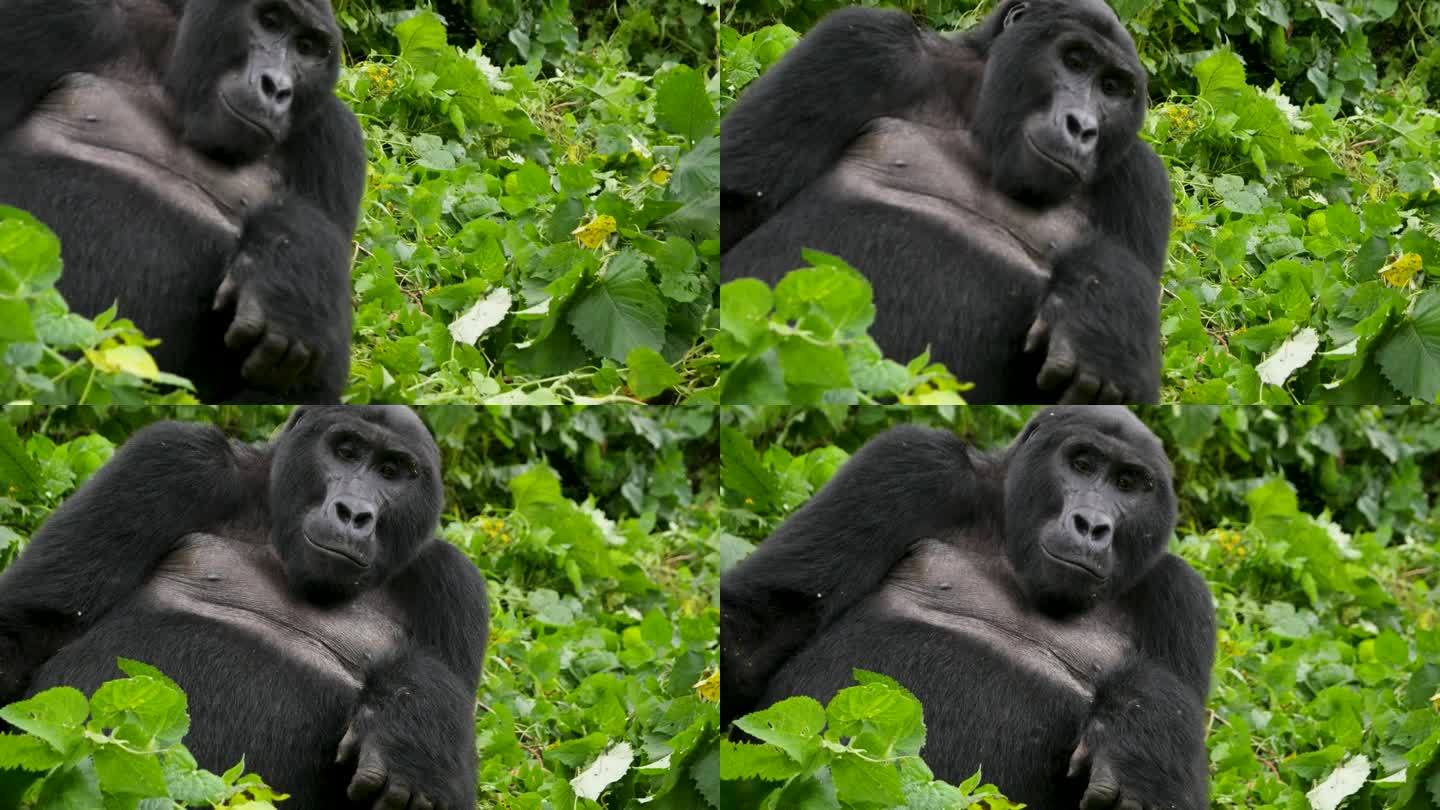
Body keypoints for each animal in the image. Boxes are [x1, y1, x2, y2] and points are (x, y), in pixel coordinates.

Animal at [0, 406, 489, 807]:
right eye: (345, 451)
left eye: (391, 471)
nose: (353, 513)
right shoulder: (176, 460)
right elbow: (34, 621)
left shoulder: (454, 586)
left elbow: (446, 785)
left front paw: (411, 723)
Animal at [1, 0, 360, 400]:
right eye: (269, 21)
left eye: (307, 48)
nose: (277, 87)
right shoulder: (56, 17)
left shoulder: (333, 140)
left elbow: (317, 376)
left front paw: (290, 271)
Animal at [720, 409, 1215, 807]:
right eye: (1082, 463)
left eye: (1128, 484)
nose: (1092, 525)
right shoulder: (913, 464)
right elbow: (765, 621)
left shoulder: (1182, 600)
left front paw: (1139, 735)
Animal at [725, 0, 1175, 403]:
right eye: (1075, 60)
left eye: (1112, 89)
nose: (1082, 127)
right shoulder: (864, 45)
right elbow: (737, 201)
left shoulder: (1141, 180)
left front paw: (1100, 317)